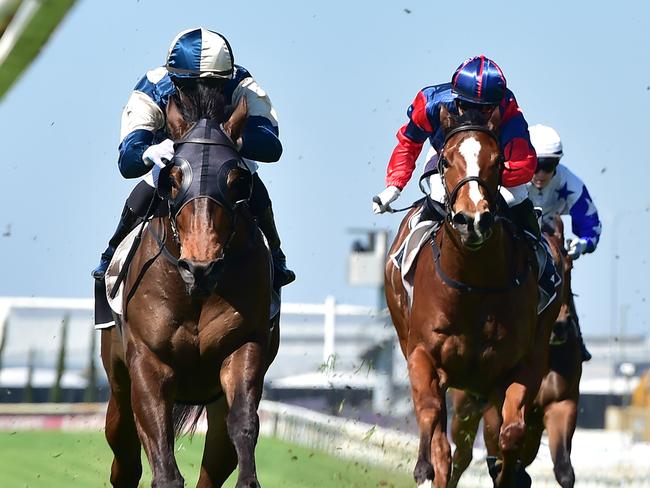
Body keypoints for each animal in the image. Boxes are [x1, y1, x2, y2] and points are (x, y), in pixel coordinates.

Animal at [98, 92, 276, 488]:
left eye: (237, 181)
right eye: (173, 178)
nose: (200, 267)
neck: (195, 294)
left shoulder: (244, 346)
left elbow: (243, 424)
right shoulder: (148, 362)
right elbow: (161, 456)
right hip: (119, 387)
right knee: (126, 459)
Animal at [384, 107, 556, 488]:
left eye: (498, 160)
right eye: (446, 161)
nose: (472, 220)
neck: (474, 284)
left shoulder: (517, 368)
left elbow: (511, 434)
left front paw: (511, 472)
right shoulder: (422, 354)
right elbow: (433, 421)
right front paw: (424, 466)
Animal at [448, 218, 580, 488]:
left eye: (569, 267)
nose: (560, 326)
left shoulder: (560, 404)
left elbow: (564, 470)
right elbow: (495, 454)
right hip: (464, 407)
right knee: (462, 456)